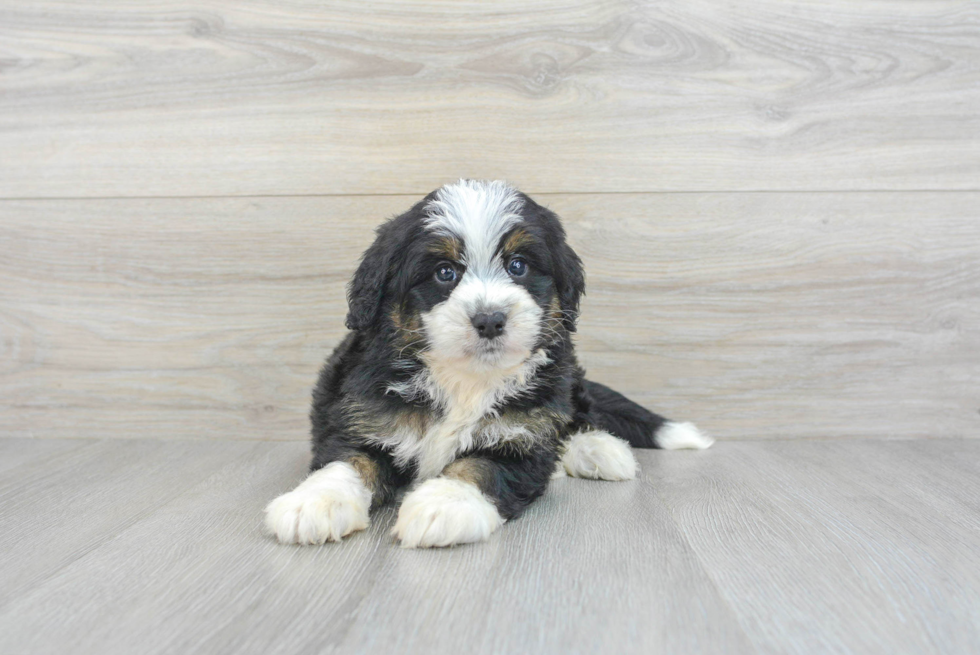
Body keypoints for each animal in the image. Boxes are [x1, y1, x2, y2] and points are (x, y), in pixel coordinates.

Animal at [266, 178, 712, 548]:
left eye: (518, 266)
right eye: (445, 272)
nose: (490, 319)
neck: (465, 378)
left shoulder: (523, 436)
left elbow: (480, 466)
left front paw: (444, 505)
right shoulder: (365, 418)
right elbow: (348, 462)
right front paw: (314, 502)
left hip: (565, 381)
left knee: (578, 414)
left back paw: (600, 449)